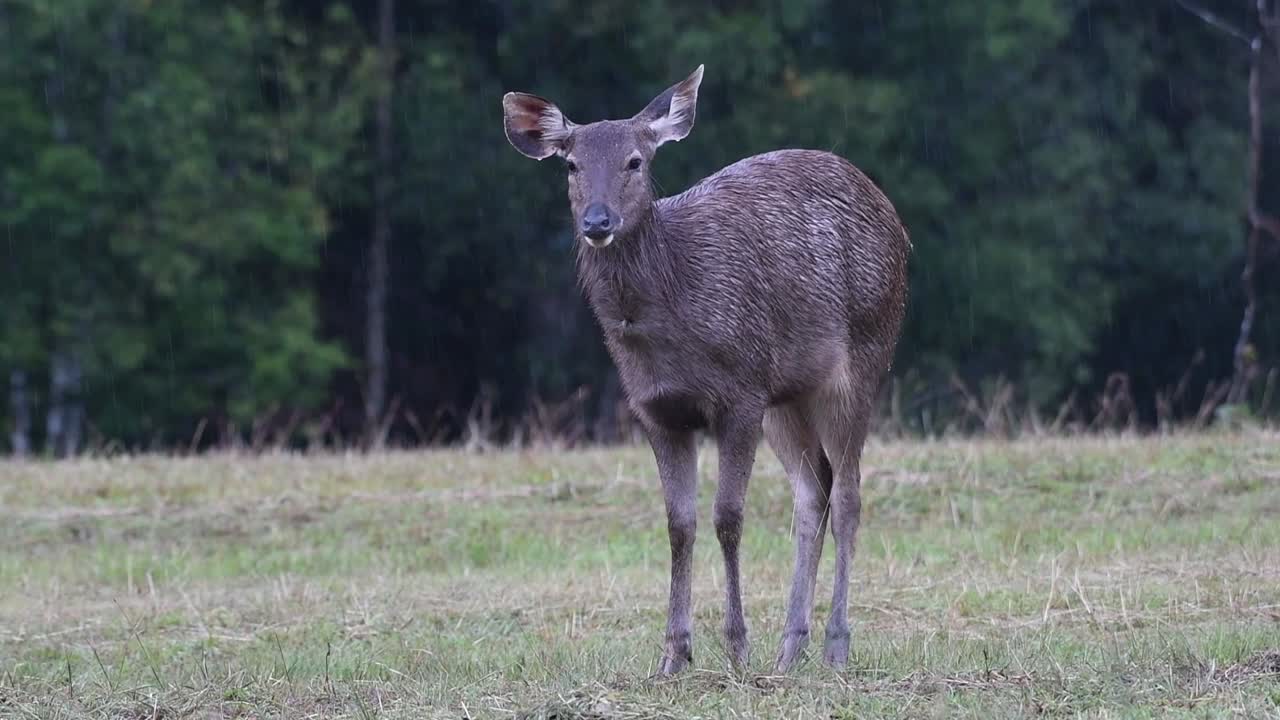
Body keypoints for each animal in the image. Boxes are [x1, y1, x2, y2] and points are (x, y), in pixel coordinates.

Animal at [502, 65, 909, 675]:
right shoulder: (656, 409)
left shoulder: (740, 391)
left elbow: (727, 516)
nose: (597, 221)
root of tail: (898, 224)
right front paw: (674, 654)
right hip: (787, 395)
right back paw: (790, 646)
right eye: (570, 164)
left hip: (862, 357)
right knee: (813, 492)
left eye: (635, 161)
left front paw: (736, 646)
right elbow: (680, 523)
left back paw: (835, 645)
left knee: (850, 495)